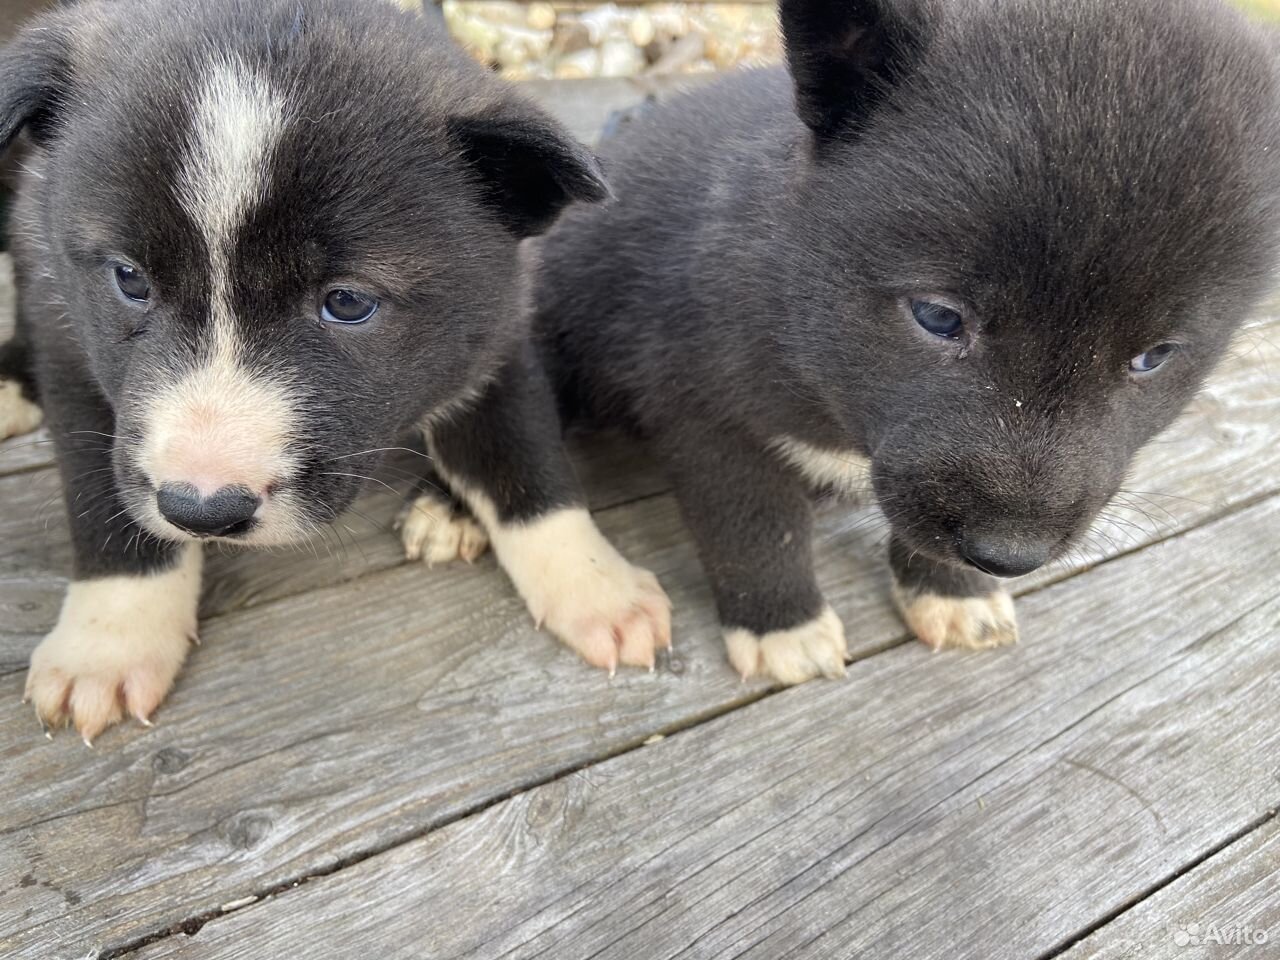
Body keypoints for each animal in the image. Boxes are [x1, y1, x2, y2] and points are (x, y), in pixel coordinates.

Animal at [0, 0, 675, 742]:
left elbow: (524, 462)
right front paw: (110, 638)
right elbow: (102, 498)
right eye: (128, 279)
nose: (202, 510)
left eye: (347, 303)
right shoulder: (69, 343)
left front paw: (594, 585)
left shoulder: (495, 330)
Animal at [529, 0, 1280, 686]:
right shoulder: (705, 415)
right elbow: (755, 530)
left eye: (1153, 358)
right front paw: (783, 626)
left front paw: (952, 593)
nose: (1009, 555)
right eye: (939, 317)